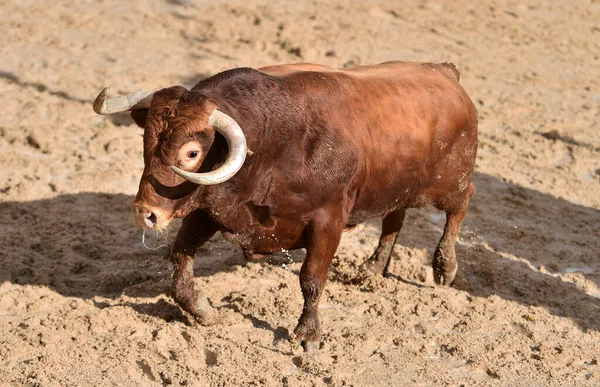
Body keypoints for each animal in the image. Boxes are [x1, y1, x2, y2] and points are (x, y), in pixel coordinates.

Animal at [92, 61, 478, 352]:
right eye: (146, 140)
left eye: (191, 153)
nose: (146, 213)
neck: (273, 143)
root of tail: (445, 73)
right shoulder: (205, 210)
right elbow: (180, 260)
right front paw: (203, 310)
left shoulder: (328, 221)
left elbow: (311, 279)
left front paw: (308, 335)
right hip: (395, 185)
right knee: (394, 216)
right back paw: (373, 267)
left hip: (450, 183)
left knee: (460, 205)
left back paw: (444, 267)